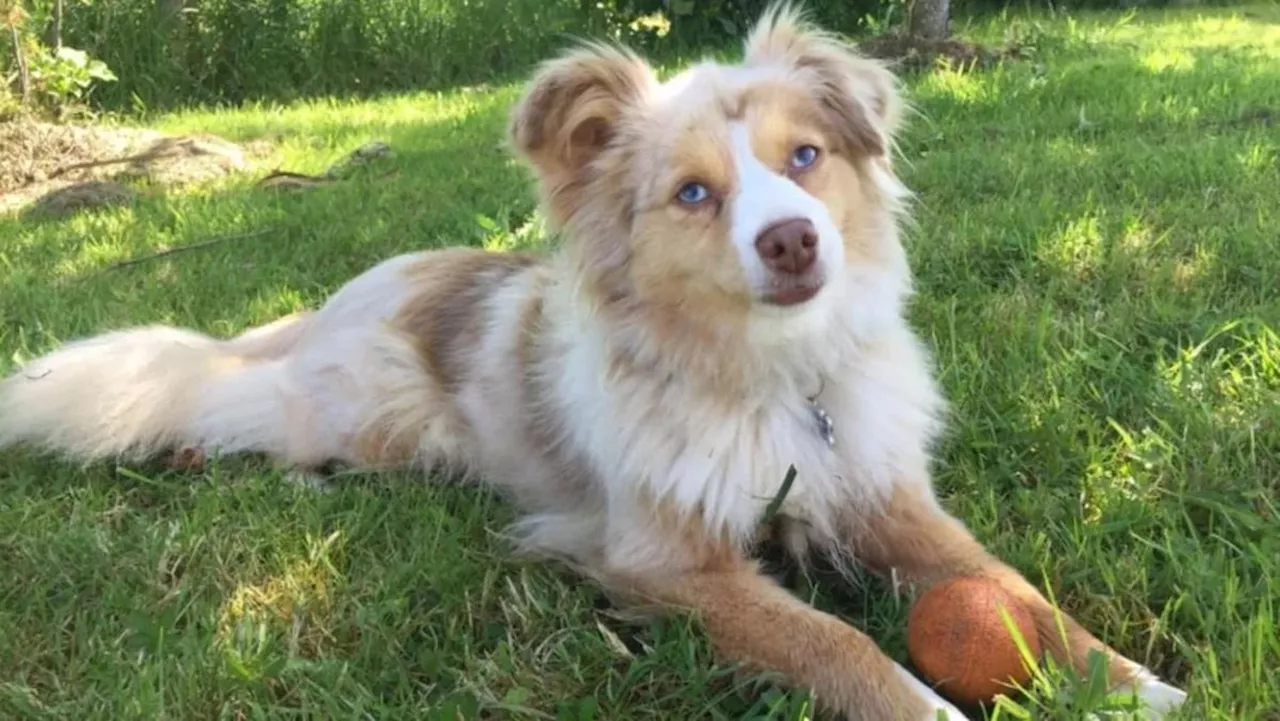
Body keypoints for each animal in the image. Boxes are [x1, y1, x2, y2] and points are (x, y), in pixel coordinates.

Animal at [0, 4, 1187, 717]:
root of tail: (366, 283)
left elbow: (1017, 595)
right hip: (361, 413)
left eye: (804, 157)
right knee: (238, 410)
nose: (793, 240)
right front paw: (927, 702)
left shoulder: (890, 498)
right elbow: (828, 641)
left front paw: (1136, 684)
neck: (772, 378)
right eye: (694, 193)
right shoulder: (665, 560)